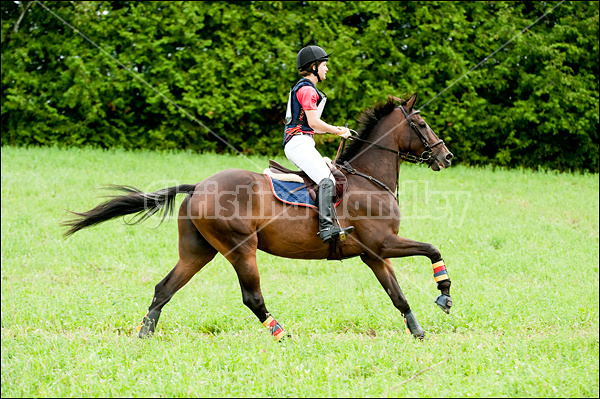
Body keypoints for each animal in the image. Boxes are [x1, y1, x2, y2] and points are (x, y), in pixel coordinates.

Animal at [62, 94, 454, 340]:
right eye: (421, 124)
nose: (446, 156)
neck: (368, 178)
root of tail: (198, 186)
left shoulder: (374, 254)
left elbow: (398, 295)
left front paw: (418, 332)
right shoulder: (383, 244)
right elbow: (433, 249)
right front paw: (444, 293)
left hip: (198, 251)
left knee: (164, 288)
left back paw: (145, 333)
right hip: (240, 248)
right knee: (252, 297)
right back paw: (283, 335)